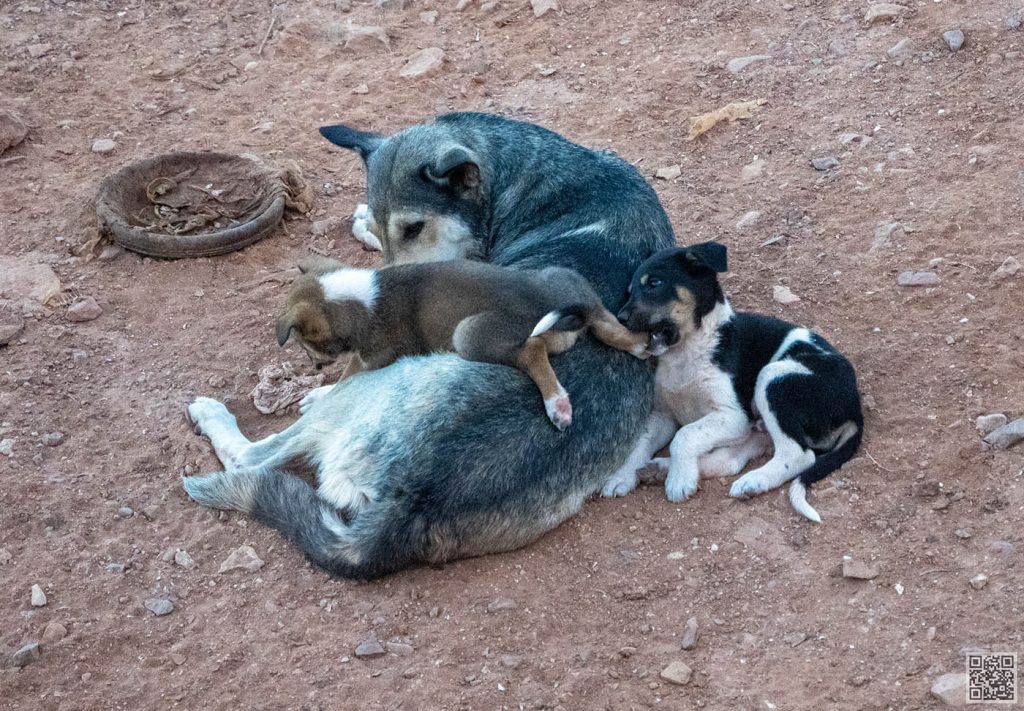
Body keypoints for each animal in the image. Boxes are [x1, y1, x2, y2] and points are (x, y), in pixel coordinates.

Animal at [276, 259, 647, 432]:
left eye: (303, 341)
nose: (314, 366)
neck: (360, 298)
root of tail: (549, 303)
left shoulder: (373, 357)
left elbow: (345, 381)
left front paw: (319, 395)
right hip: (574, 287)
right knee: (609, 328)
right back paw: (642, 345)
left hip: (467, 336)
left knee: (533, 350)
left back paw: (557, 404)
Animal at [606, 242, 864, 520]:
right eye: (629, 290)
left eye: (654, 283)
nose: (620, 318)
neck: (686, 351)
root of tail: (855, 407)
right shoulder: (664, 415)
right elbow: (641, 443)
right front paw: (621, 476)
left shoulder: (733, 416)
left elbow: (684, 435)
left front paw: (680, 479)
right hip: (755, 429)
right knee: (730, 461)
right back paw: (661, 469)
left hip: (774, 377)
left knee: (798, 455)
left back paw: (751, 479)